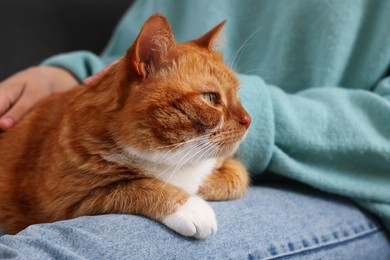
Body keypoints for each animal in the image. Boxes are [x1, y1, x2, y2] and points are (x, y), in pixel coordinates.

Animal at [0, 13, 250, 238]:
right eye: (210, 98)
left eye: (237, 94)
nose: (248, 120)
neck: (173, 158)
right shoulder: (65, 203)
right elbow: (133, 186)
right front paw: (189, 205)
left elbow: (238, 177)